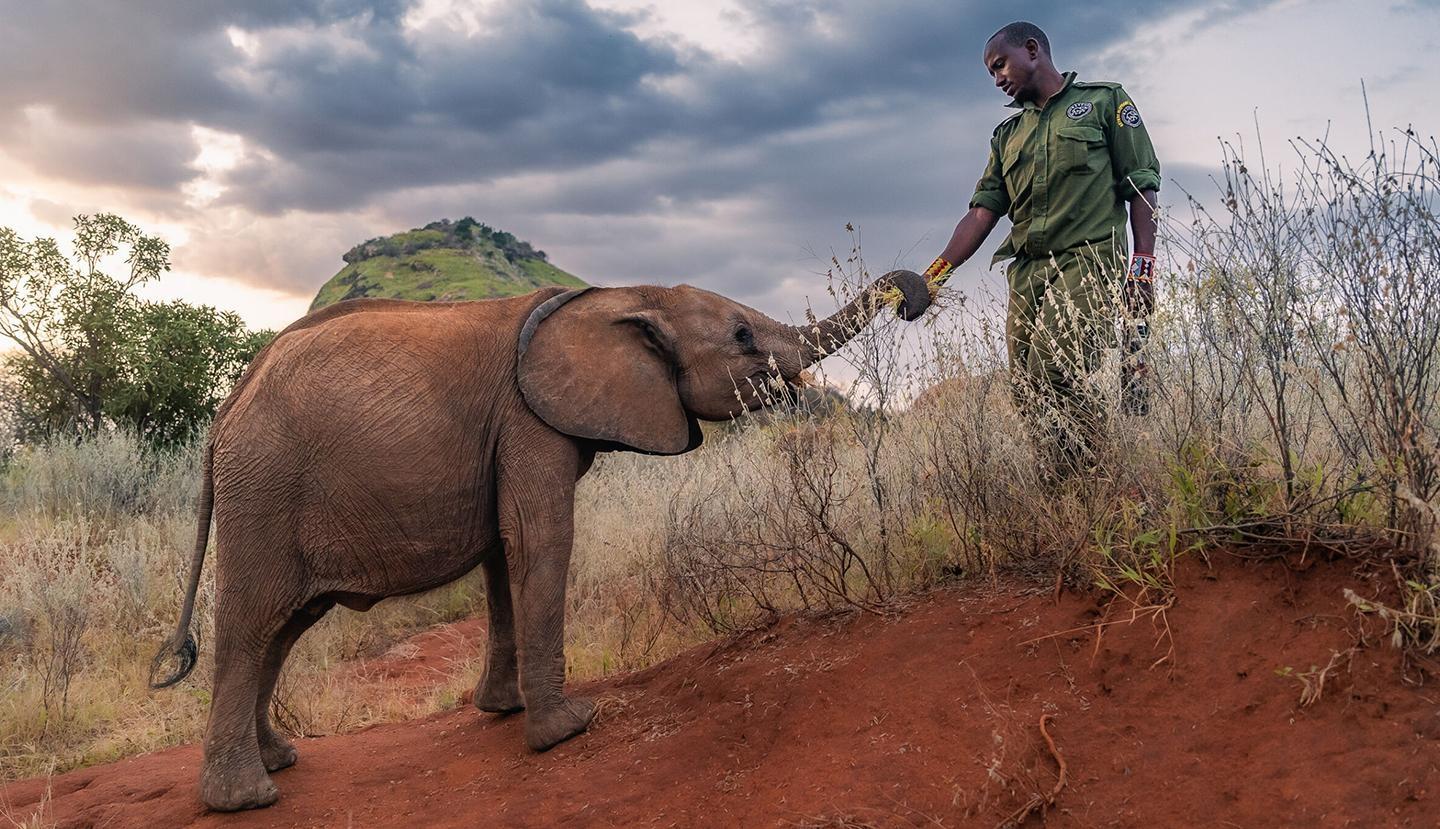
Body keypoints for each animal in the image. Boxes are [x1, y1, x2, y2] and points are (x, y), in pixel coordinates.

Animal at [149, 269, 932, 812]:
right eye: (741, 337)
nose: (914, 298)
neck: (626, 292)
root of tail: (224, 414)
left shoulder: (510, 435)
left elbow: (506, 554)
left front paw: (505, 711)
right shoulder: (530, 420)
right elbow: (541, 538)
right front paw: (567, 729)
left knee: (284, 628)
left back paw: (279, 760)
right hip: (266, 487)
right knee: (254, 623)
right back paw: (245, 798)